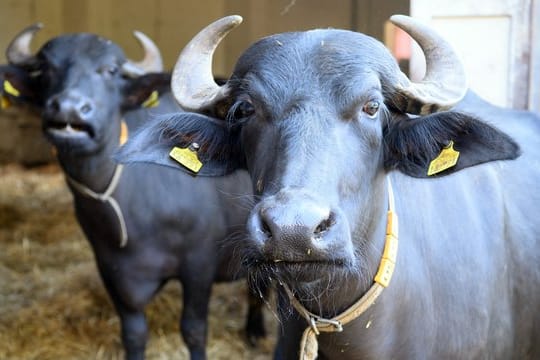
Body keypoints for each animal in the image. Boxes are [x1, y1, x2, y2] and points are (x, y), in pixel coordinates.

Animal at [0, 23, 266, 358]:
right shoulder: (113, 272)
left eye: (110, 70)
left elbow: (193, 331)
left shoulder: (199, 266)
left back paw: (255, 331)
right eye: (46, 68)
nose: (70, 108)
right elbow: (134, 335)